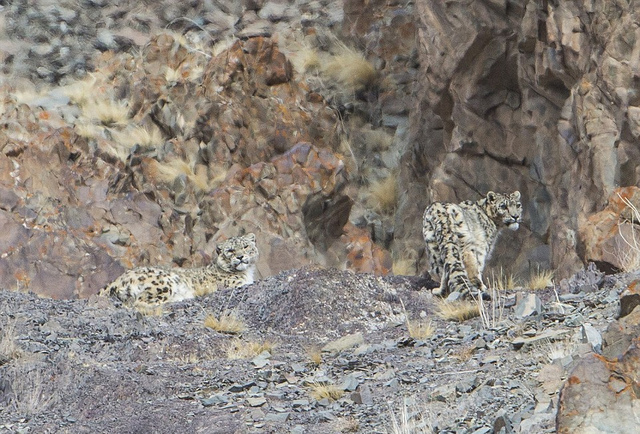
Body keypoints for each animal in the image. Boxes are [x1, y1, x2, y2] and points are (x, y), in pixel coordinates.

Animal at [99, 234, 258, 308]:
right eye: (230, 250)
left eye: (245, 246)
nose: (240, 256)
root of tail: (116, 280)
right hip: (164, 282)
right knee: (140, 302)